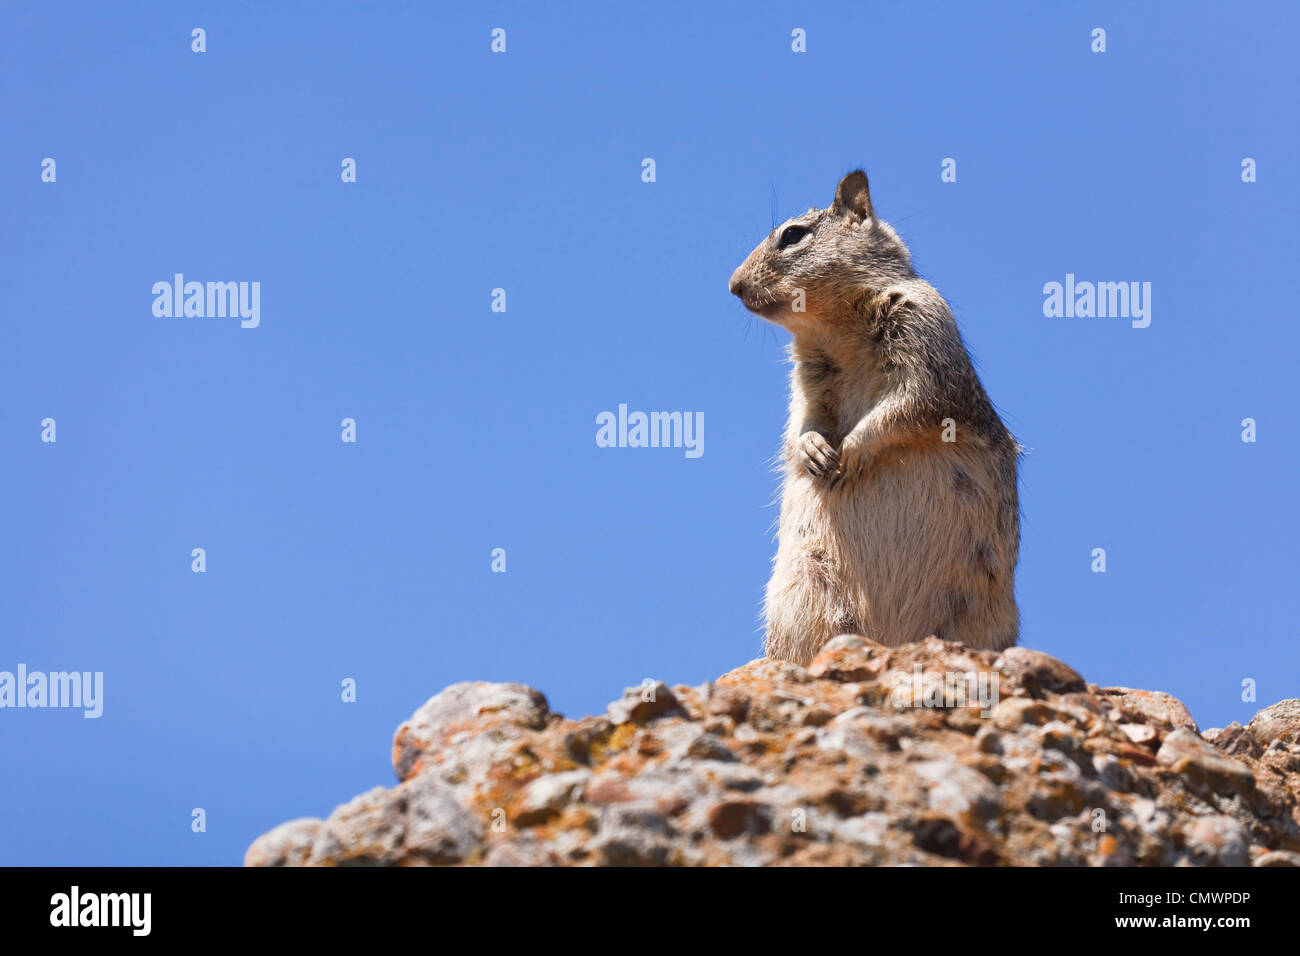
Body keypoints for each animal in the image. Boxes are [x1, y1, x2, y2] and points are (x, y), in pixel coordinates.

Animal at [733, 170, 1013, 665]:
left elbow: (907, 407)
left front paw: (853, 451)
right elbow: (802, 422)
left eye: (792, 235)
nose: (733, 285)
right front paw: (813, 449)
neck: (834, 326)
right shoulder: (807, 380)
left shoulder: (924, 342)